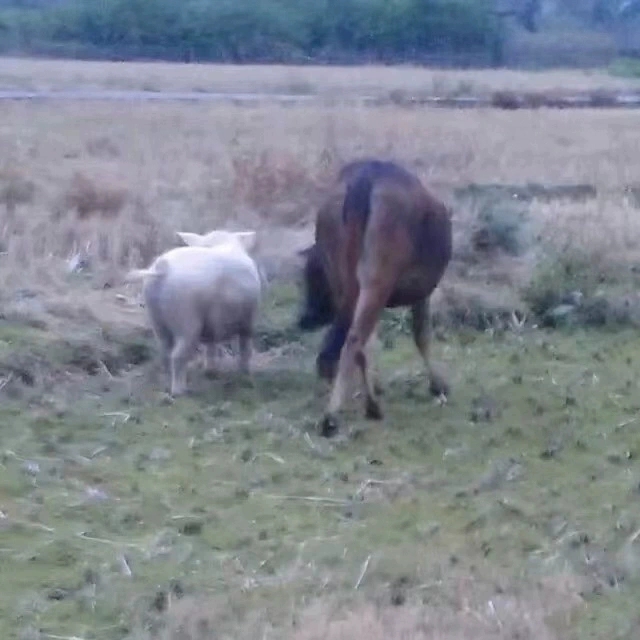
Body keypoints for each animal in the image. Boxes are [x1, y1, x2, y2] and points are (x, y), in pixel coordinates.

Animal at [125, 230, 262, 396]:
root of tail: (163, 268)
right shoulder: (248, 320)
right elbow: (245, 348)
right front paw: (245, 374)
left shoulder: (213, 324)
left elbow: (211, 346)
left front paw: (211, 371)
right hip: (186, 320)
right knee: (177, 356)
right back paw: (179, 391)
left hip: (156, 320)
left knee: (165, 352)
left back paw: (166, 383)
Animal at [298, 158, 452, 438]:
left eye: (312, 278)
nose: (304, 318)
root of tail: (366, 176)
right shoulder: (423, 292)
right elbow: (422, 335)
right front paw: (437, 385)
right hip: (378, 277)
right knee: (354, 339)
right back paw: (335, 416)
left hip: (348, 278)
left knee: (357, 341)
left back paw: (368, 404)